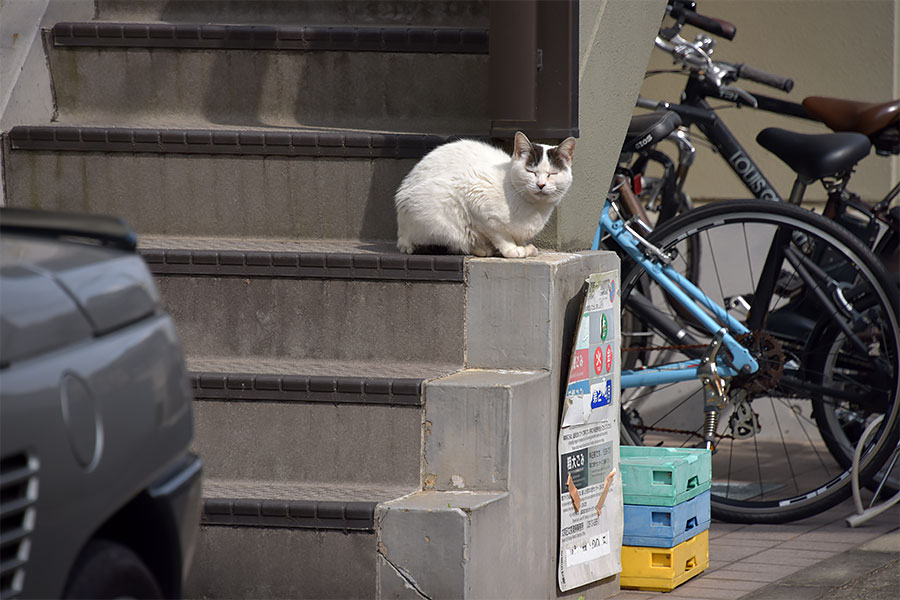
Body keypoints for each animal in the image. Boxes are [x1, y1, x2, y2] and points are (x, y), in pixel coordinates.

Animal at [394, 132, 576, 258]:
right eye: (530, 171)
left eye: (553, 173)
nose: (541, 185)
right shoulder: (476, 198)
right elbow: (500, 234)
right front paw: (512, 249)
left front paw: (523, 245)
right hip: (439, 214)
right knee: (456, 241)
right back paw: (482, 248)